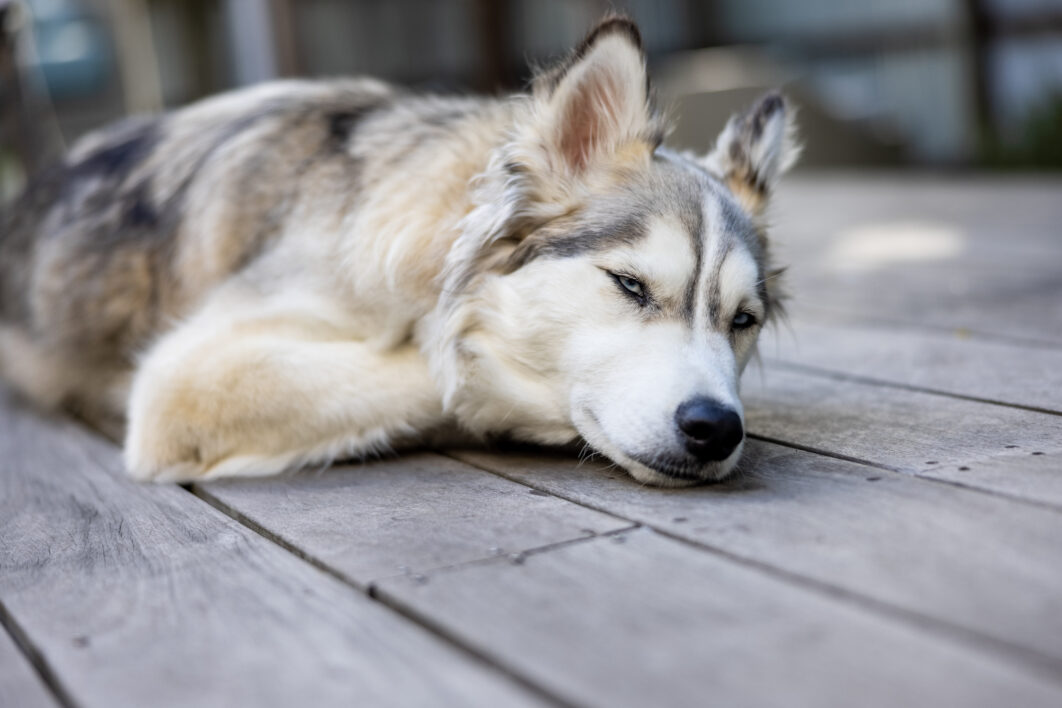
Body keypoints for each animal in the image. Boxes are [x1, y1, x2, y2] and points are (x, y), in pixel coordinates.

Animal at [0, 16, 798, 488]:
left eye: (742, 321)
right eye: (629, 285)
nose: (715, 429)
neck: (437, 229)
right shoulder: (183, 379)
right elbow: (450, 376)